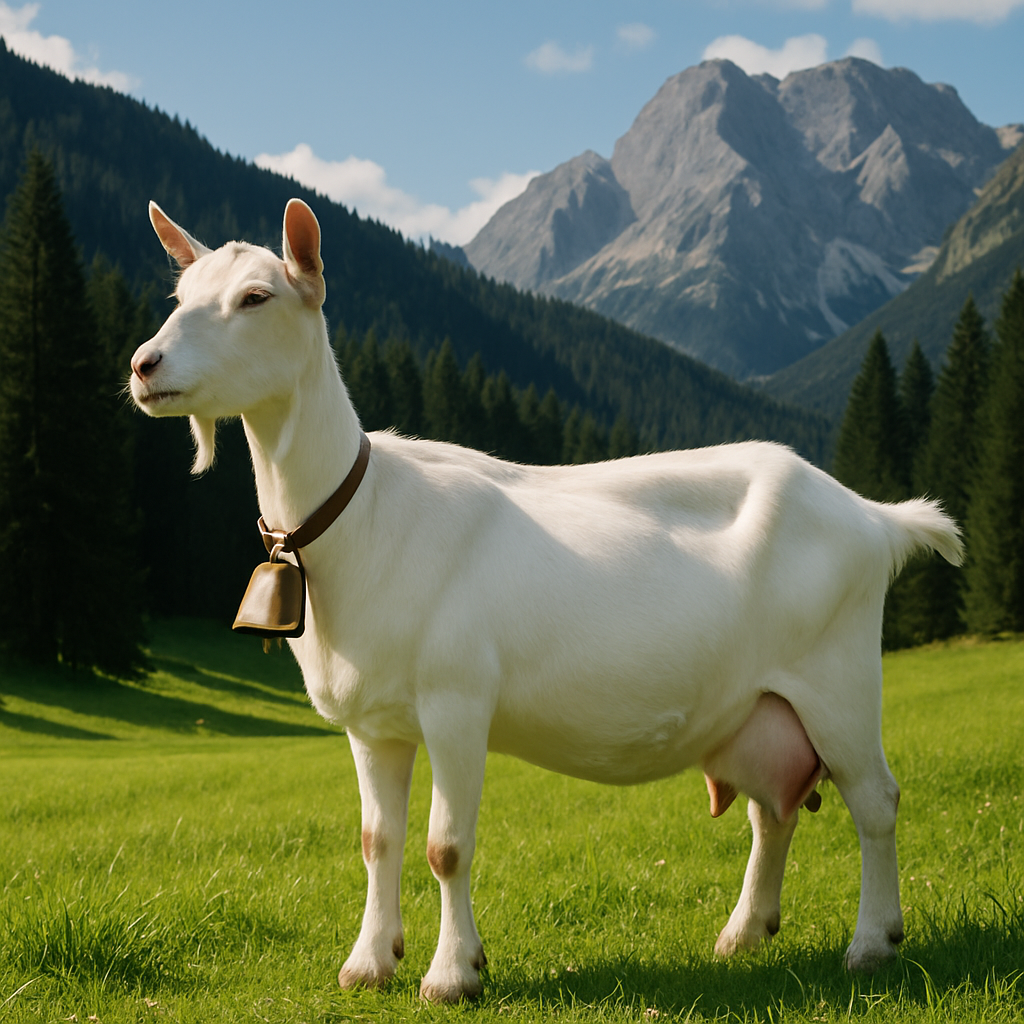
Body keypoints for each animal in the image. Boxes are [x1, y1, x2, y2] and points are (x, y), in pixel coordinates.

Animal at [129, 198, 963, 1003]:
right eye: (179, 296)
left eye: (255, 296)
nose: (143, 364)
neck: (363, 516)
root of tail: (872, 515)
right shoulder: (373, 725)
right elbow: (377, 842)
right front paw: (369, 963)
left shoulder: (457, 702)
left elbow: (445, 846)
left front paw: (451, 975)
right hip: (761, 704)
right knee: (773, 809)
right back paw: (743, 934)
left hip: (839, 681)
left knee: (876, 800)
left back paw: (872, 943)